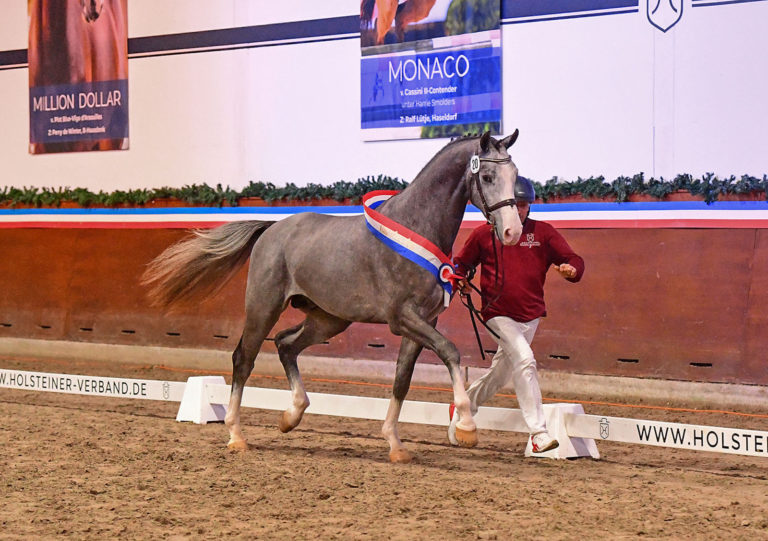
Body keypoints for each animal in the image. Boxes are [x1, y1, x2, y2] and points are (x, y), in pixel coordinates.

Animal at [142, 130, 524, 460]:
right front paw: (467, 427)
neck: (415, 226)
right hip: (264, 308)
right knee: (243, 358)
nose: (511, 232)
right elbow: (451, 351)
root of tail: (272, 229)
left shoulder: (422, 323)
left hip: (328, 320)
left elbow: (402, 380)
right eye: (488, 176)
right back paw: (237, 435)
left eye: (515, 173)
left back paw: (291, 416)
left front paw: (395, 445)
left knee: (285, 344)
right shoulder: (402, 318)